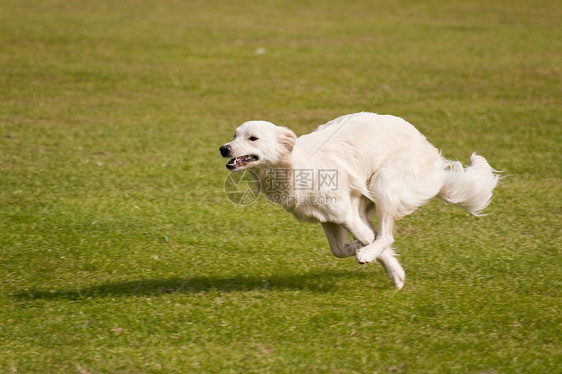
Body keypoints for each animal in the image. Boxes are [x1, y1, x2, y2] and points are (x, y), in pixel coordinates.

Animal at [220, 112, 498, 290]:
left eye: (253, 138)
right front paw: (357, 247)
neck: (295, 166)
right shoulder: (328, 219)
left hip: (384, 181)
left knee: (386, 235)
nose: (224, 148)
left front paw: (394, 274)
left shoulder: (345, 214)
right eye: (234, 135)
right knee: (377, 233)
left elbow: (375, 243)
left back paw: (370, 252)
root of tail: (423, 142)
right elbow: (339, 250)